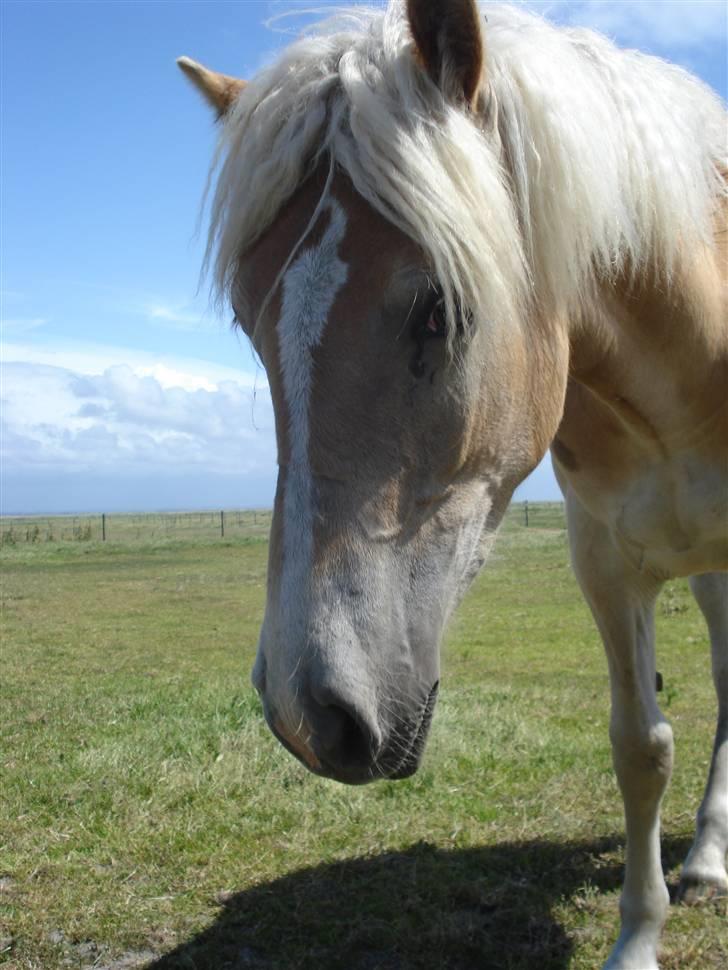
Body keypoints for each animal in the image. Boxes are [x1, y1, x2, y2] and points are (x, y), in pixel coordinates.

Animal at [178, 3, 728, 964]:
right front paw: (638, 934)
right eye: (249, 319)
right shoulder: (605, 565)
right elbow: (641, 748)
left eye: (439, 308)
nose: (306, 715)